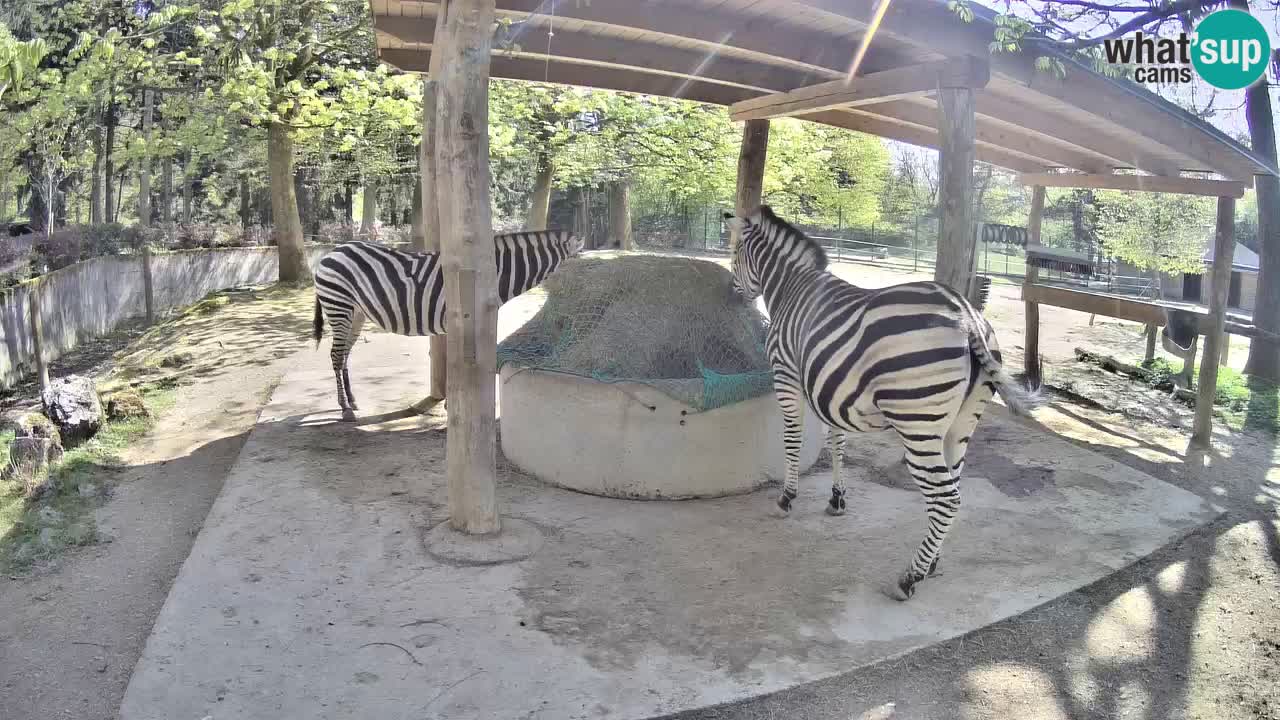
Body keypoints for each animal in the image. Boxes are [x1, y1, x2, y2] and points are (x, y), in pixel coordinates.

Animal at [312, 231, 583, 421]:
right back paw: (345, 409)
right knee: (336, 355)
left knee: (345, 354)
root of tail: (333, 252)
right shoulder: (457, 322)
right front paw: (451, 406)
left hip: (356, 312)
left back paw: (352, 400)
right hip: (339, 305)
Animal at [725, 205, 1039, 600]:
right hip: (961, 424)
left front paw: (787, 498)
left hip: (918, 423)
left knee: (946, 497)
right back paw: (931, 563)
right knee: (954, 487)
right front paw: (837, 499)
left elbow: (793, 441)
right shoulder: (829, 388)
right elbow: (837, 442)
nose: (731, 293)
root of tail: (967, 315)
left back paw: (909, 578)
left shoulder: (787, 376)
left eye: (735, 253)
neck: (790, 287)